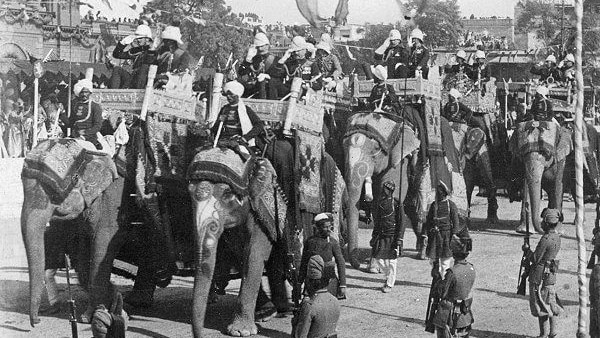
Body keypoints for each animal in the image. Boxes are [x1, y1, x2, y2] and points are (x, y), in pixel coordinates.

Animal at [20, 138, 125, 328]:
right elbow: (81, 259)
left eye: (53, 194)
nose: (36, 321)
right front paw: (112, 299)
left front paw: (87, 317)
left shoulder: (113, 207)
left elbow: (100, 250)